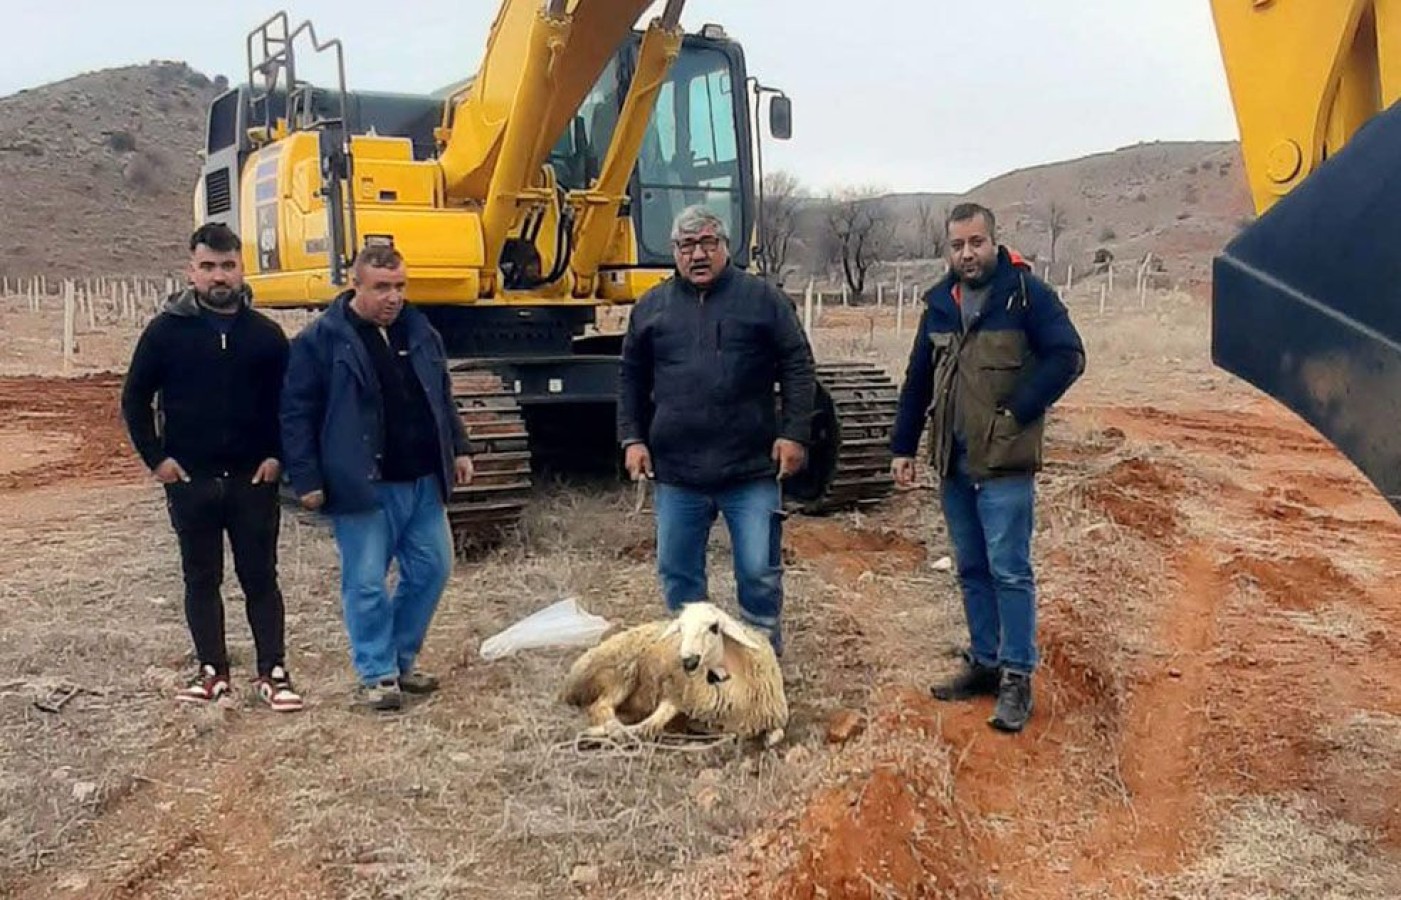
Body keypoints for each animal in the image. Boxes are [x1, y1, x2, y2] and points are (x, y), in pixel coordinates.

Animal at [563, 602, 795, 740]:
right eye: (681, 628)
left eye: (714, 627)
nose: (688, 661)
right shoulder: (675, 693)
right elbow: (648, 727)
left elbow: (776, 736)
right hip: (620, 673)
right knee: (600, 708)